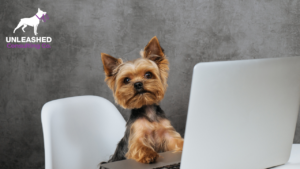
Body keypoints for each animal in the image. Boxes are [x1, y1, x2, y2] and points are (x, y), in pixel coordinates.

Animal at [100, 36, 183, 167]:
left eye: (148, 74)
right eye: (126, 80)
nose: (138, 84)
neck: (147, 109)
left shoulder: (167, 134)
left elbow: (178, 141)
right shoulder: (136, 136)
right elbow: (141, 146)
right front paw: (149, 155)